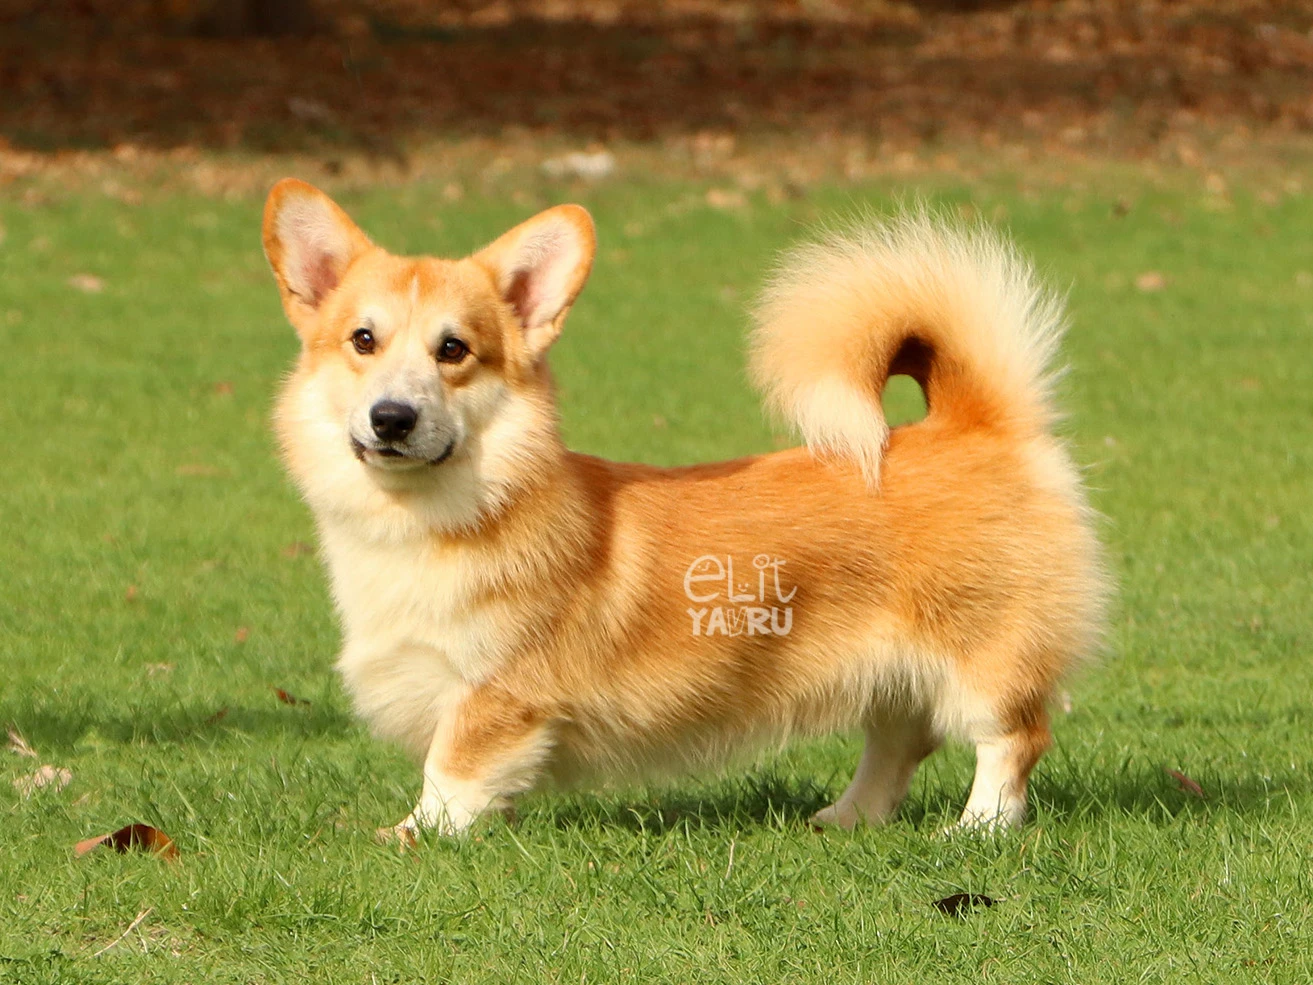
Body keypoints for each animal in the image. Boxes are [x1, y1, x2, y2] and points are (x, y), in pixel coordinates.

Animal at [263, 181, 1108, 845]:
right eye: (362, 340)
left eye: (453, 350)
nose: (392, 418)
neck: (430, 516)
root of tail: (974, 420)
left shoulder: (496, 693)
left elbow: (450, 772)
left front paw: (412, 835)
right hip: (890, 669)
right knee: (899, 742)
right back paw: (846, 817)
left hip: (980, 654)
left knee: (1011, 737)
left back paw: (977, 829)